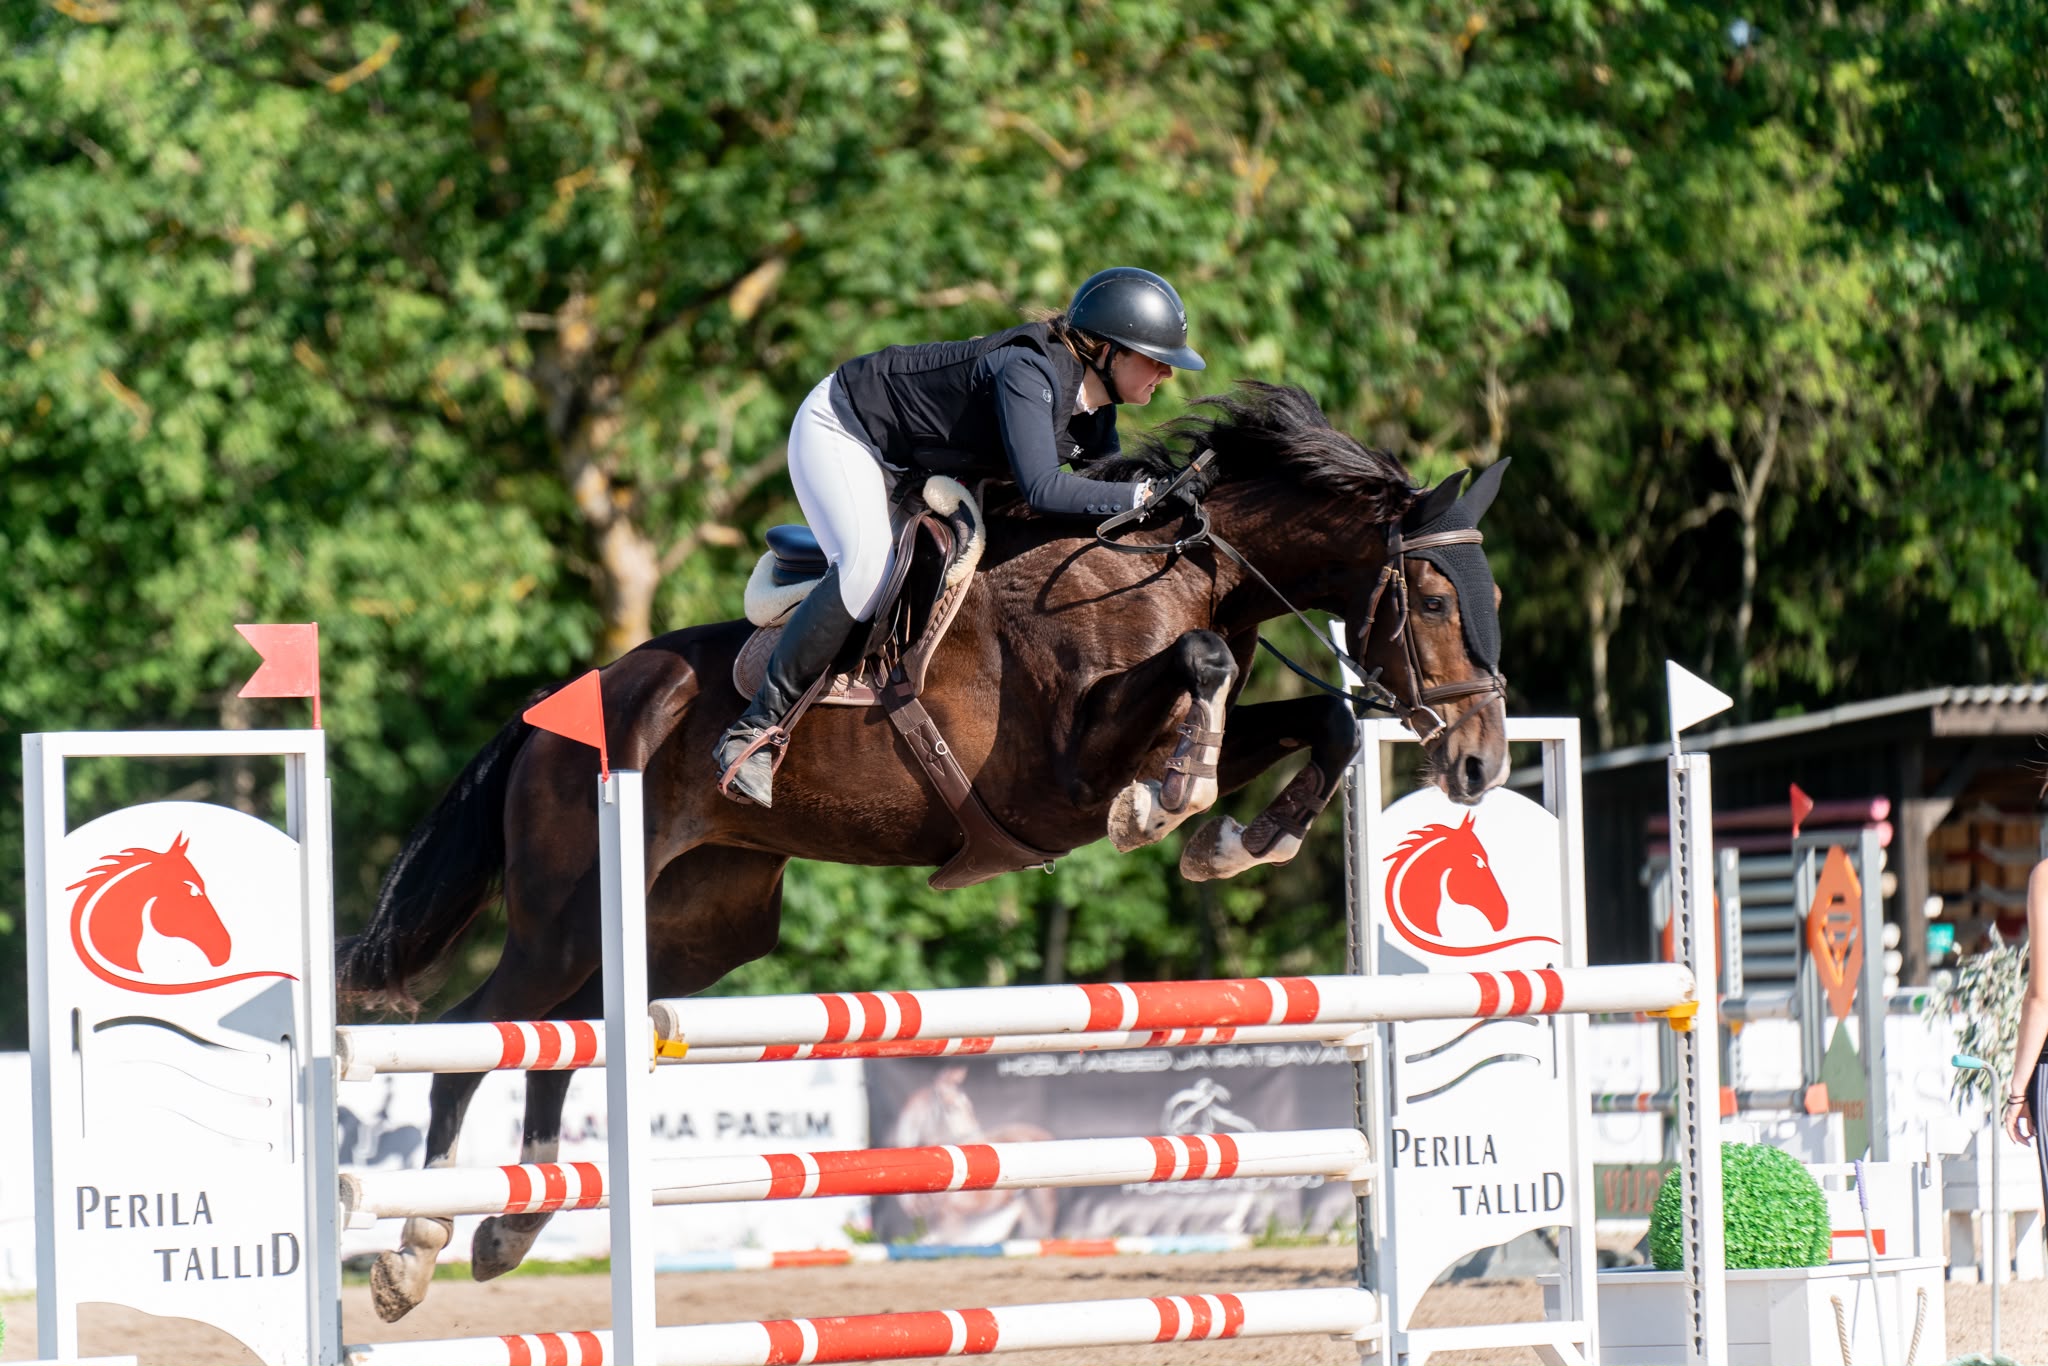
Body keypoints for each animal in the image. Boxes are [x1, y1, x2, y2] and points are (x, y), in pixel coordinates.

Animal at [339, 382, 1513, 1321]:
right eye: (1435, 599)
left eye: (1490, 597)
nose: (1478, 765)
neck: (1158, 573)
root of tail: (557, 710)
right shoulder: (1061, 774)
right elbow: (1204, 661)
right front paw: (1170, 807)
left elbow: (1318, 721)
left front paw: (1234, 843)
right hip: (564, 912)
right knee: (474, 1033)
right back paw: (417, 1250)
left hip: (696, 926)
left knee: (570, 1033)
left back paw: (513, 1226)